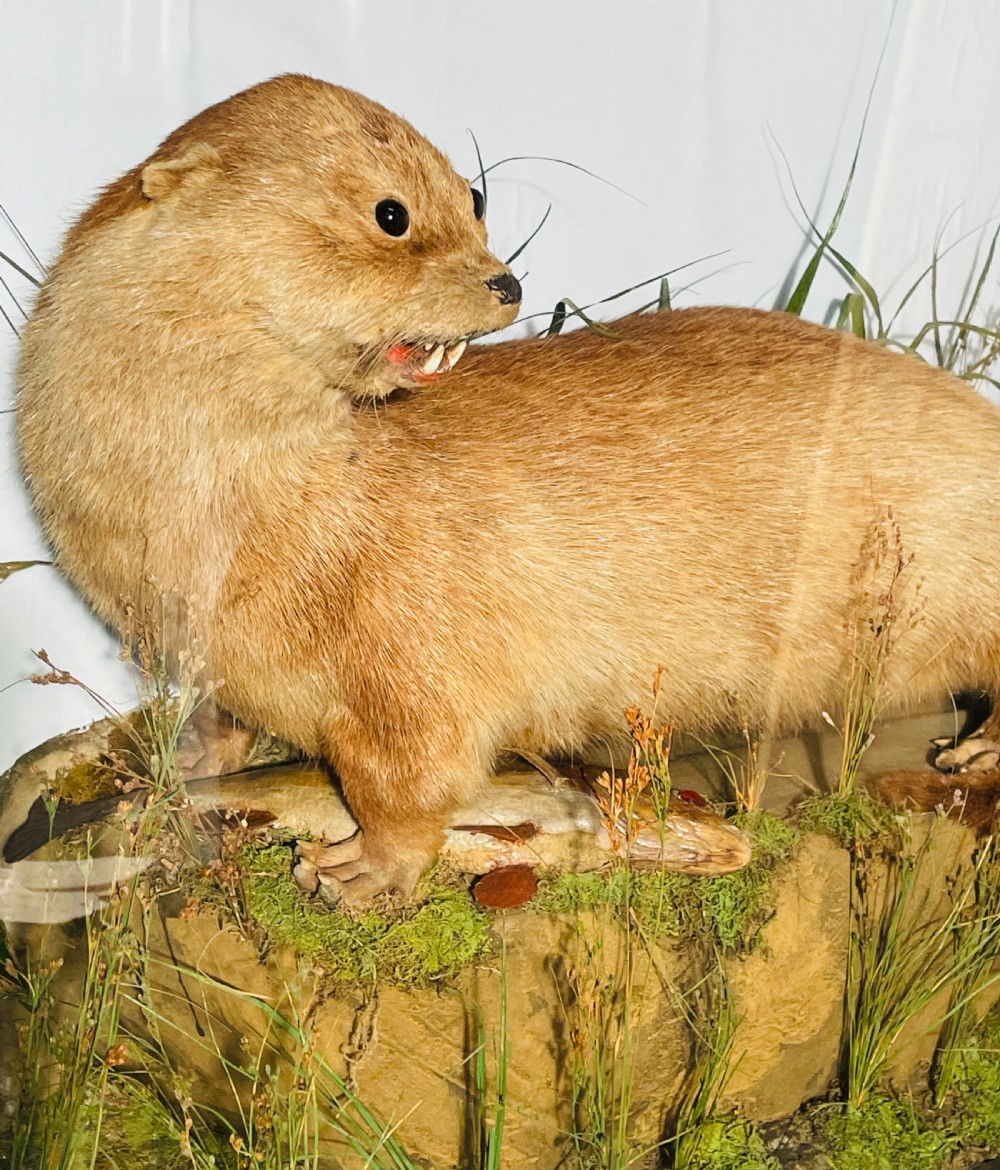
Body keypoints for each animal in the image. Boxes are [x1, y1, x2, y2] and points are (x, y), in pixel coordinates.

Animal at [17, 73, 1000, 902]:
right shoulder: (201, 645)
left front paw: (360, 872)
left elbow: (415, 784)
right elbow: (221, 717)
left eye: (474, 199)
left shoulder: (412, 662)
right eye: (392, 213)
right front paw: (182, 762)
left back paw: (971, 751)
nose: (507, 279)